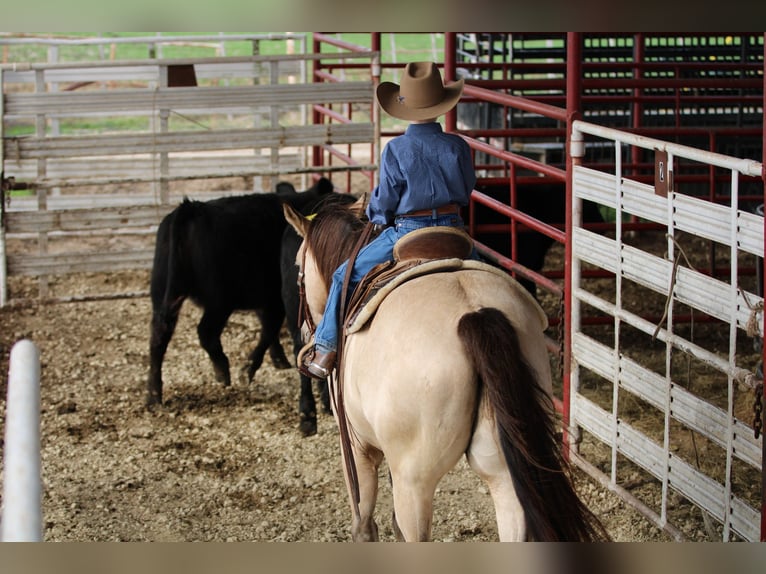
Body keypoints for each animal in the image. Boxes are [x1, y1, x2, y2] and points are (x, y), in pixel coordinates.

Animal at [146, 176, 336, 418]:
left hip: (163, 293)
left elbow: (268, 328)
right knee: (205, 332)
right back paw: (222, 370)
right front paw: (249, 369)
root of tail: (189, 209)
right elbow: (269, 329)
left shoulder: (268, 300)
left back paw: (153, 395)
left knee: (159, 336)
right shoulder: (275, 299)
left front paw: (277, 360)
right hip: (219, 302)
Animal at [284, 199, 612, 544]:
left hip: (415, 482)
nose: (305, 335)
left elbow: (364, 524)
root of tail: (474, 314)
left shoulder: (358, 446)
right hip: (501, 468)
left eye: (297, 267)